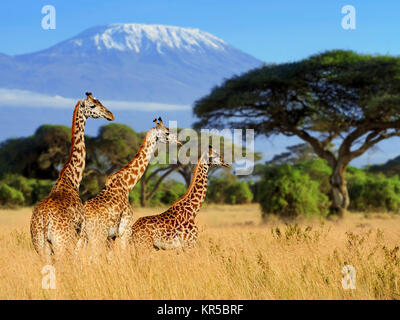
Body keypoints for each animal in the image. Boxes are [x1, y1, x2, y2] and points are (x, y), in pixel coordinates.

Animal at [29, 93, 113, 260]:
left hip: (40, 245)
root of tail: (44, 220)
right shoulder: (81, 236)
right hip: (62, 243)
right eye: (93, 105)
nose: (110, 115)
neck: (71, 180)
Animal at [80, 117, 183, 252]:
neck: (127, 185)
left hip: (83, 236)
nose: (180, 142)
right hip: (97, 235)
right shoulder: (125, 230)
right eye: (167, 132)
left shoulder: (112, 236)